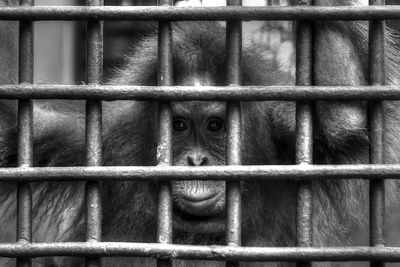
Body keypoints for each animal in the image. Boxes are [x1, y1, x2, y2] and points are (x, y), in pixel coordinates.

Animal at [0, 0, 400, 266]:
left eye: (214, 126)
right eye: (179, 125)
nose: (195, 159)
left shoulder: (288, 143)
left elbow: (345, 117)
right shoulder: (92, 145)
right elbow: (14, 127)